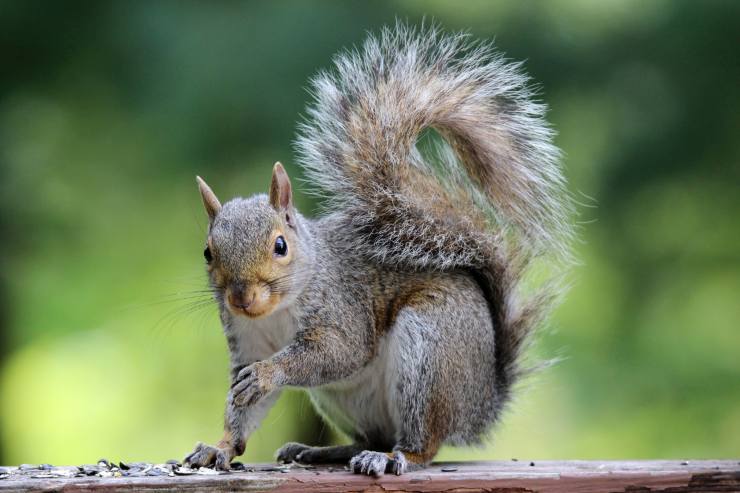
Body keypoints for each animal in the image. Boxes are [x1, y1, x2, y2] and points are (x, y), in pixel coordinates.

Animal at [184, 26, 572, 476]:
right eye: (208, 252)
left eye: (280, 245)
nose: (241, 297)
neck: (276, 312)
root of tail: (479, 405)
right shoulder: (246, 342)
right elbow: (243, 408)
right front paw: (220, 448)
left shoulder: (343, 309)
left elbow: (337, 352)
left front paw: (268, 373)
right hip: (345, 399)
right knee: (372, 436)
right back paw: (322, 451)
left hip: (430, 351)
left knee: (422, 443)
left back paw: (392, 457)